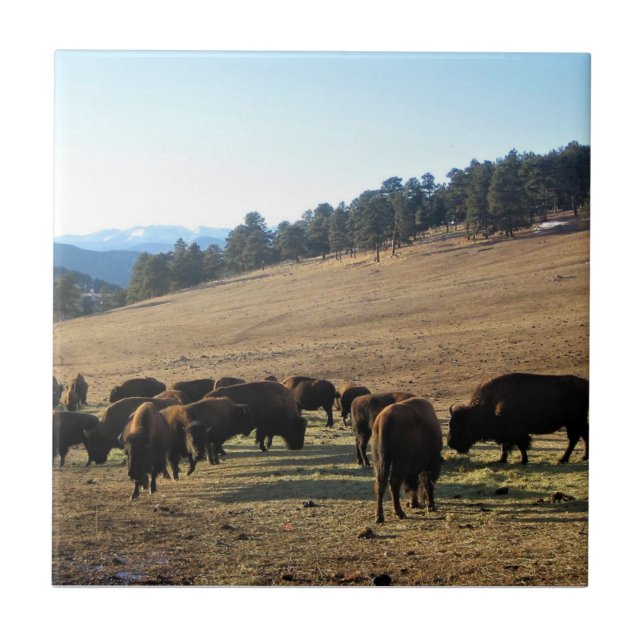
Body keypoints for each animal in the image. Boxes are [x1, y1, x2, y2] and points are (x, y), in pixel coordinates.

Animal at [447, 373, 589, 465]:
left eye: (460, 426)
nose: (450, 443)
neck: (492, 403)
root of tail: (586, 384)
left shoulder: (517, 432)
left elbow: (520, 445)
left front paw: (523, 460)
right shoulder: (506, 433)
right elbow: (505, 446)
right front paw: (501, 459)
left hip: (574, 421)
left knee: (574, 438)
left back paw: (562, 459)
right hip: (578, 421)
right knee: (583, 435)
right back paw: (583, 457)